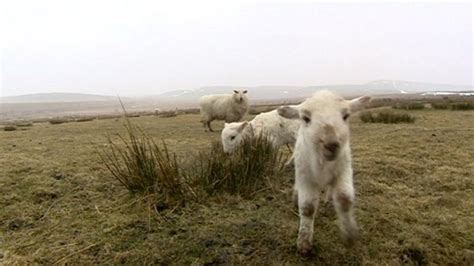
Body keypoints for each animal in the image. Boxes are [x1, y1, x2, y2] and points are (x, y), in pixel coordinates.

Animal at [278, 90, 370, 255]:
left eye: (346, 116)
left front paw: (350, 234)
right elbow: (307, 207)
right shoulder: (305, 177)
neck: (323, 164)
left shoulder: (344, 170)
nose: (331, 145)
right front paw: (304, 242)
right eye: (306, 118)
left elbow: (344, 199)